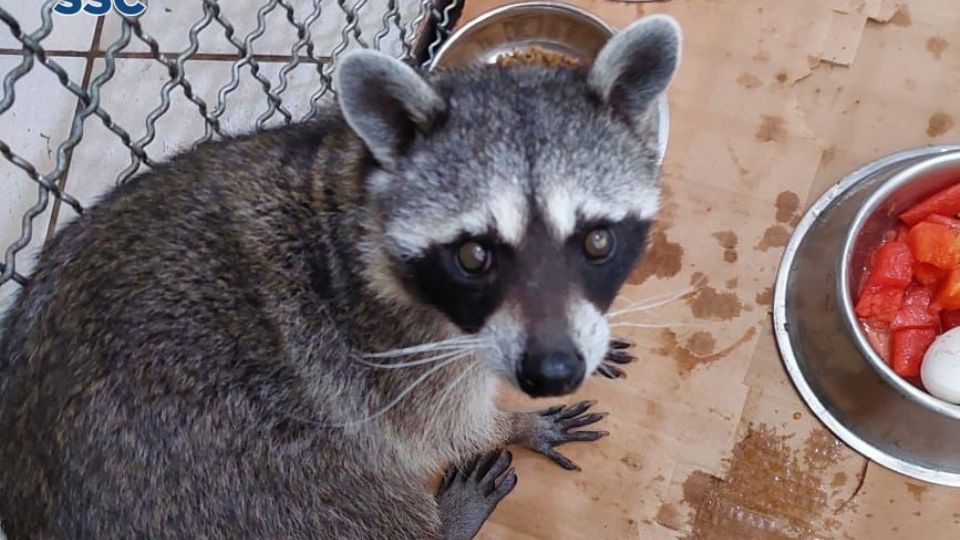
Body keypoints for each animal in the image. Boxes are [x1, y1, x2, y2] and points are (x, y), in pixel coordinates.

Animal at [0, 14, 680, 536]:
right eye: (473, 256)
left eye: (596, 240)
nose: (553, 370)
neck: (351, 187)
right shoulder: (386, 352)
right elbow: (438, 428)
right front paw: (512, 424)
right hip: (264, 482)